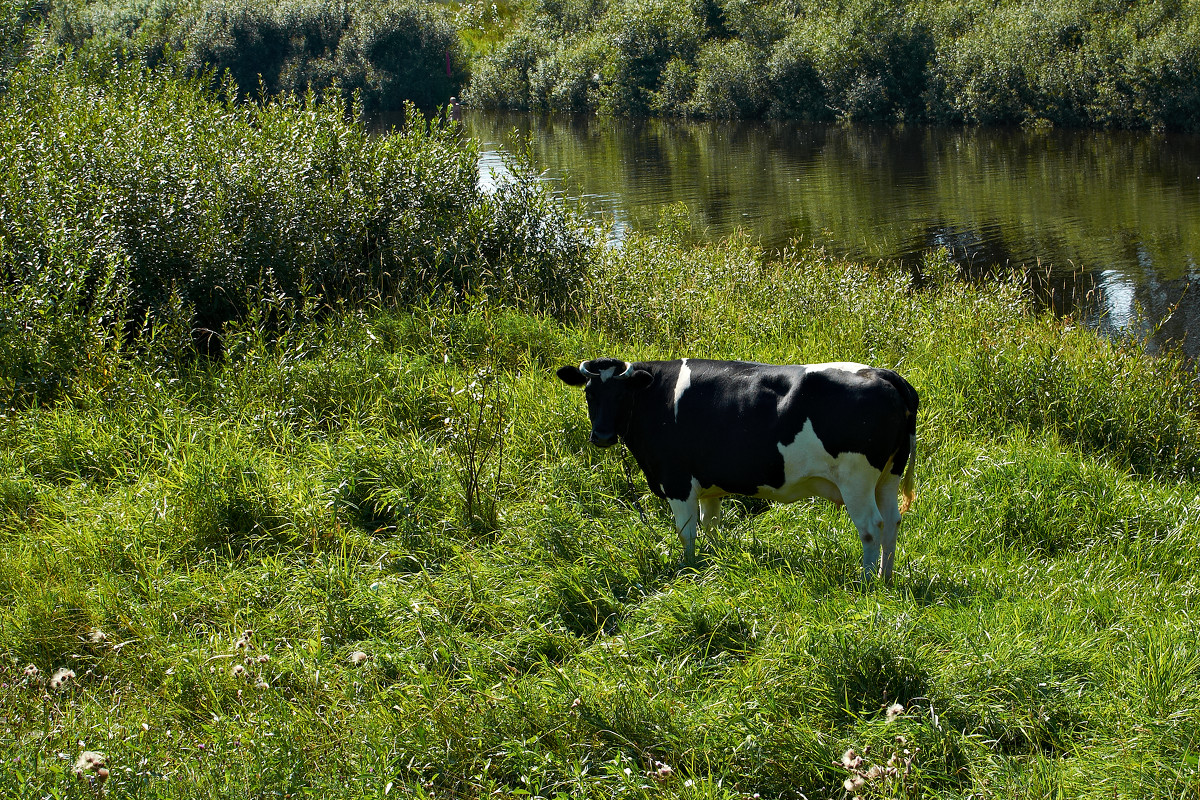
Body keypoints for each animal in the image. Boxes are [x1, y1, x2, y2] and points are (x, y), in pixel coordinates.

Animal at [554, 357, 916, 582]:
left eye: (621, 394)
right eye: (590, 393)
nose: (602, 436)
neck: (654, 397)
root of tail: (884, 373)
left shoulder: (677, 482)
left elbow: (687, 532)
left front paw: (689, 568)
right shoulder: (707, 486)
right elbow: (710, 525)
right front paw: (714, 561)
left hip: (857, 480)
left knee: (871, 527)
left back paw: (866, 582)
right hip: (888, 476)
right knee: (892, 522)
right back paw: (885, 577)